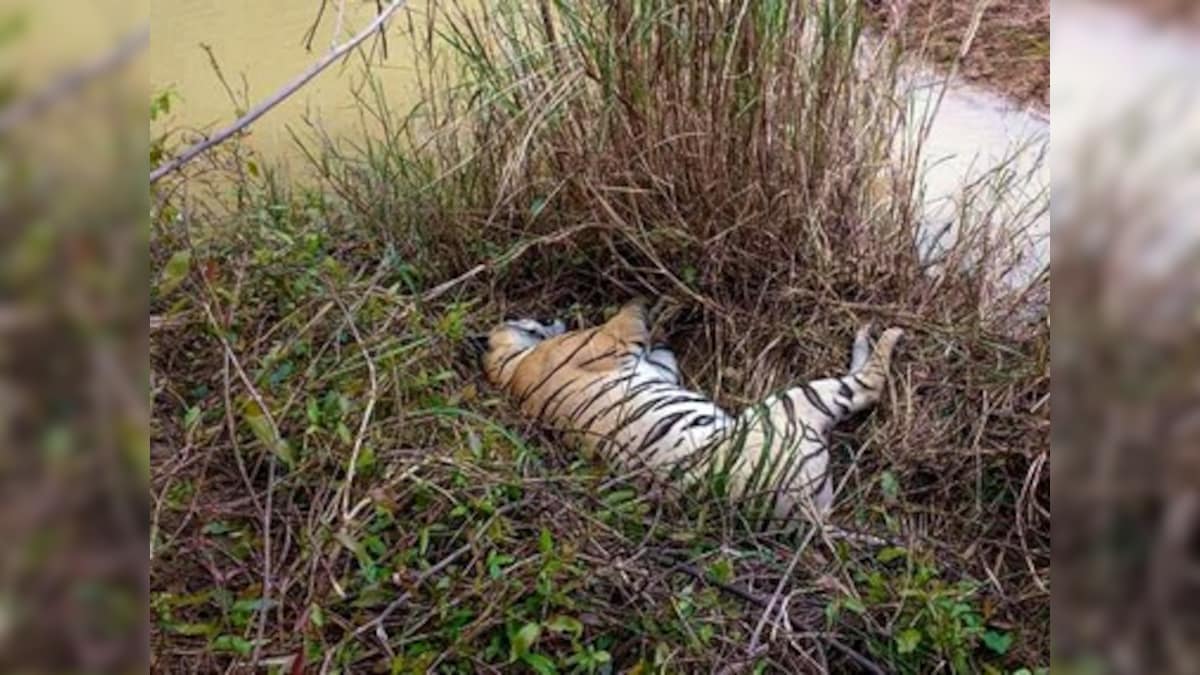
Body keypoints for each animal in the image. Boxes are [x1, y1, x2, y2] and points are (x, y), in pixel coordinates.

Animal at [475, 299, 902, 526]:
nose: (553, 314)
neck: (510, 371)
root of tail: (808, 517)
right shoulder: (606, 340)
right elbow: (627, 316)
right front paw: (656, 305)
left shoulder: (656, 368)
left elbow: (661, 355)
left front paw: (666, 328)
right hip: (792, 405)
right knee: (868, 385)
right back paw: (886, 334)